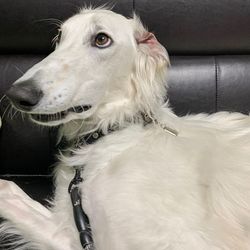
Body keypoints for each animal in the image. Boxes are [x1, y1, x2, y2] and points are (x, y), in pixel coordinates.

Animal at [0, 6, 250, 249]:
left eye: (102, 39)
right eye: (60, 36)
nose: (16, 95)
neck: (112, 131)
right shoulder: (78, 229)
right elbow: (8, 188)